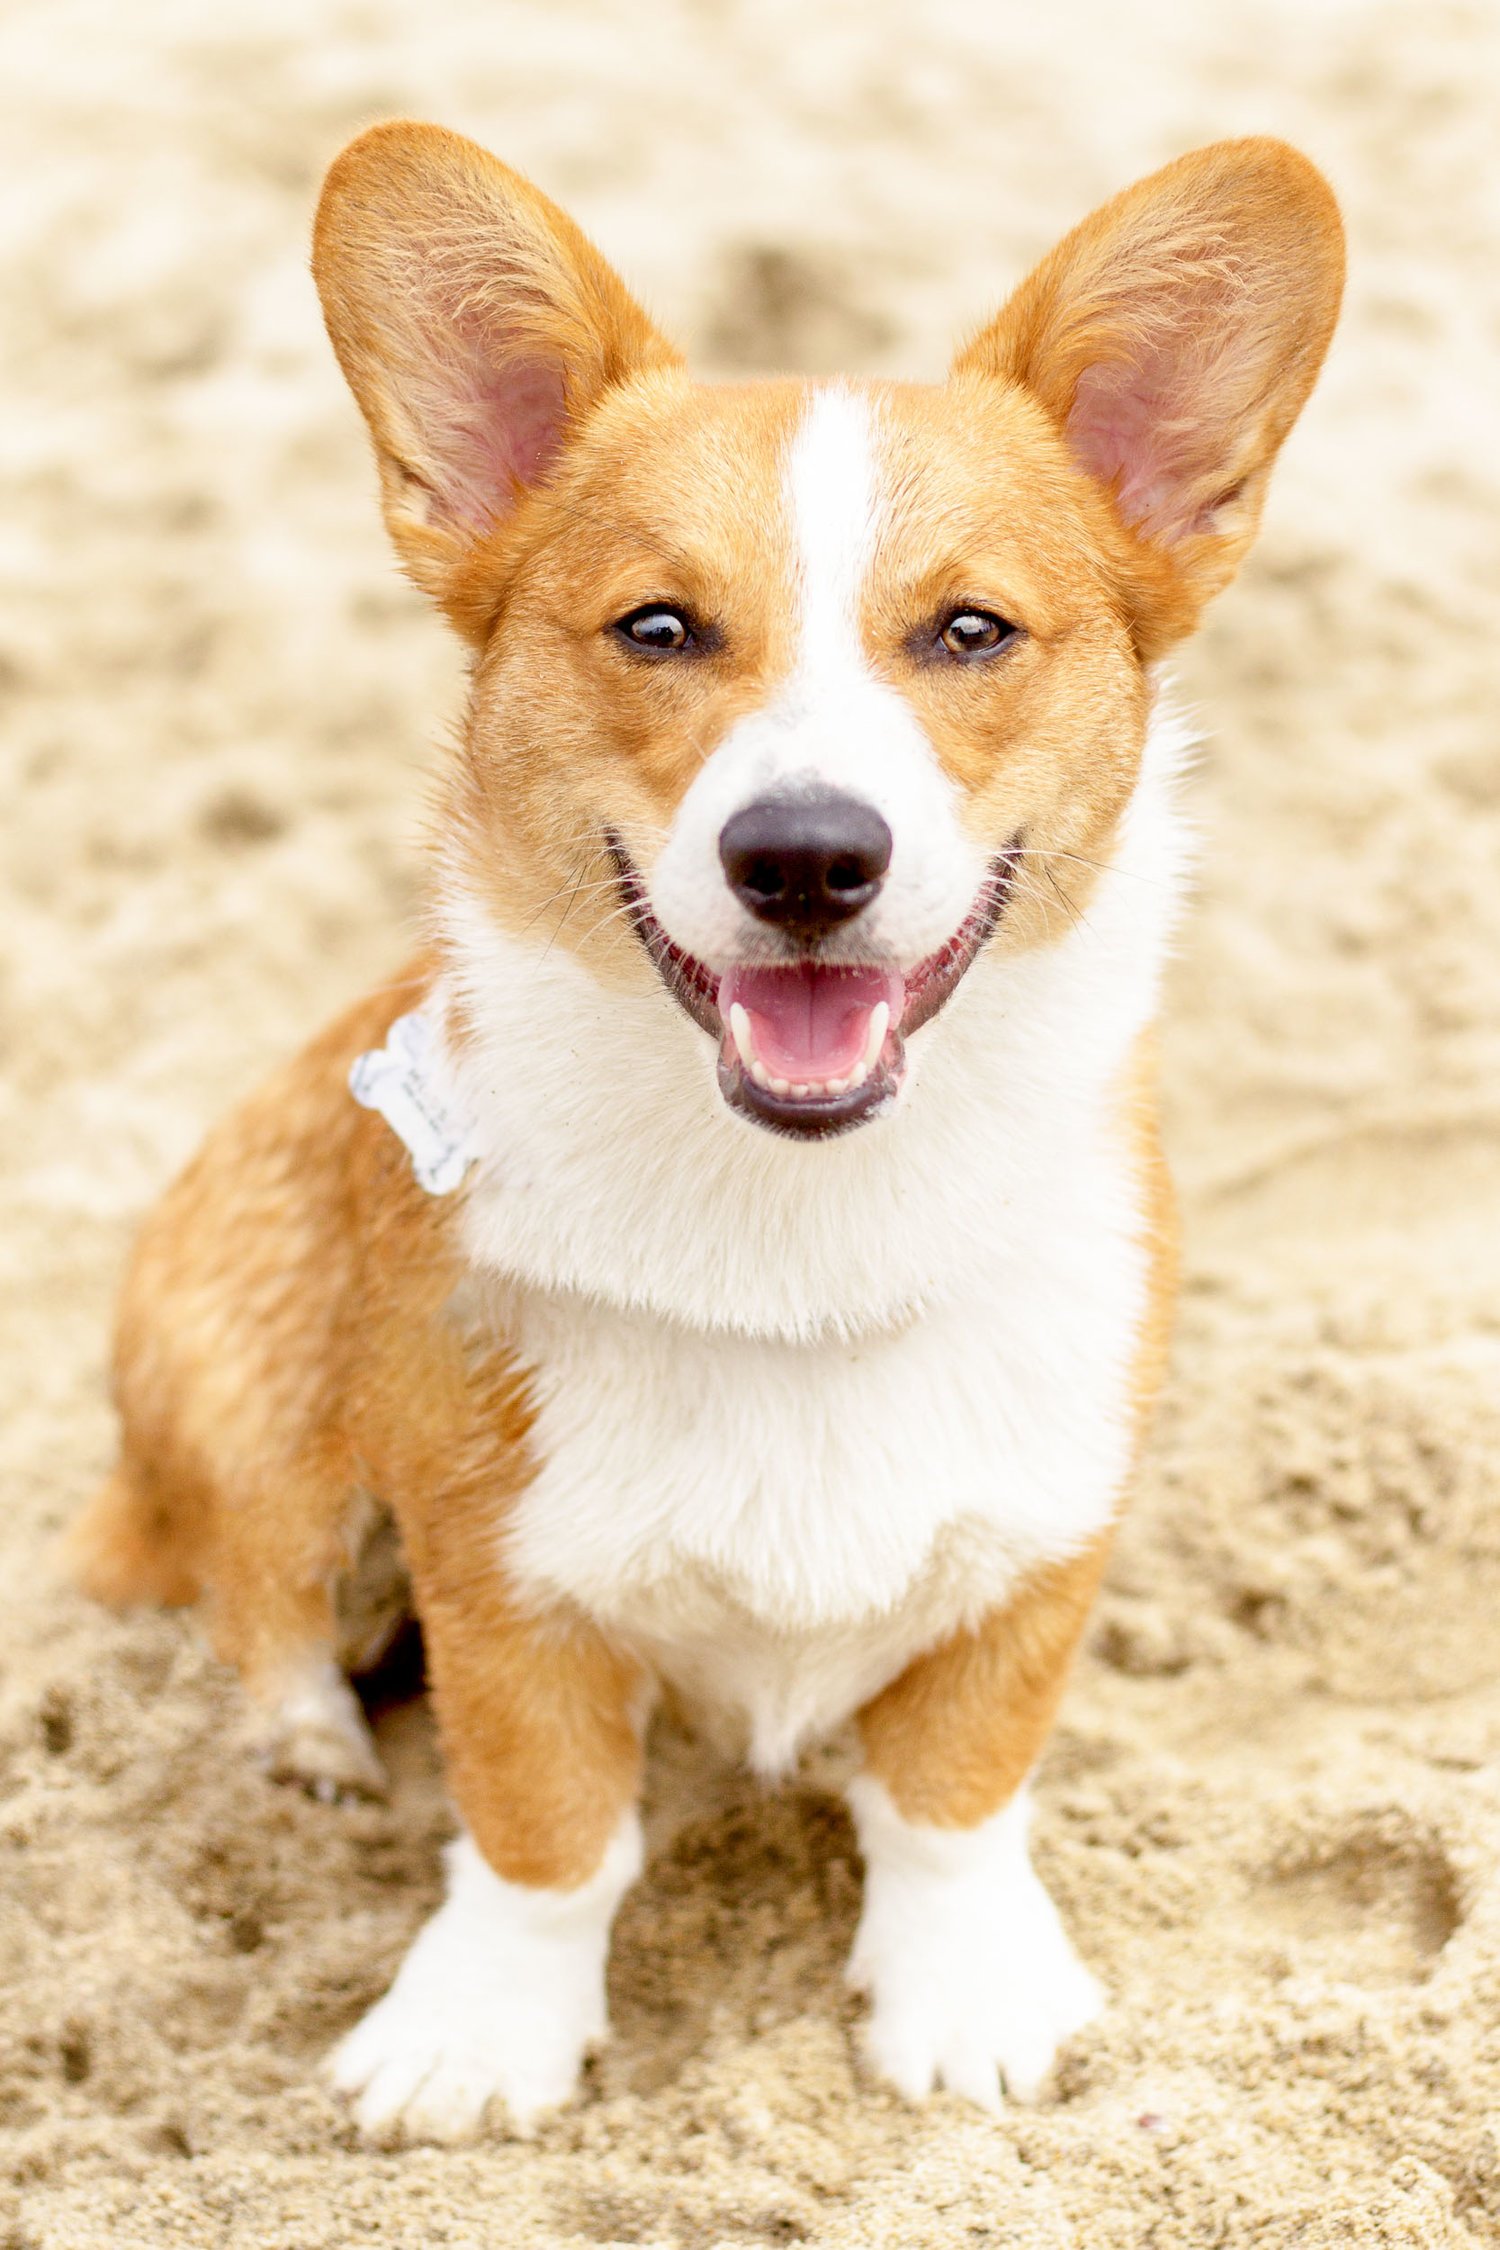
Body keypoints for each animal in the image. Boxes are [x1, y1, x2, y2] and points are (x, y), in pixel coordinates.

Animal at [70, 127, 1340, 2142]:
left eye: (970, 630)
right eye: (658, 629)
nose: (807, 857)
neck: (798, 1217)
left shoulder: (1046, 1537)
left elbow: (956, 1791)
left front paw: (965, 1990)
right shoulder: (502, 1578)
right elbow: (544, 1834)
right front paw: (480, 2031)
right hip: (243, 1393)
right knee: (251, 1593)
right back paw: (308, 1755)